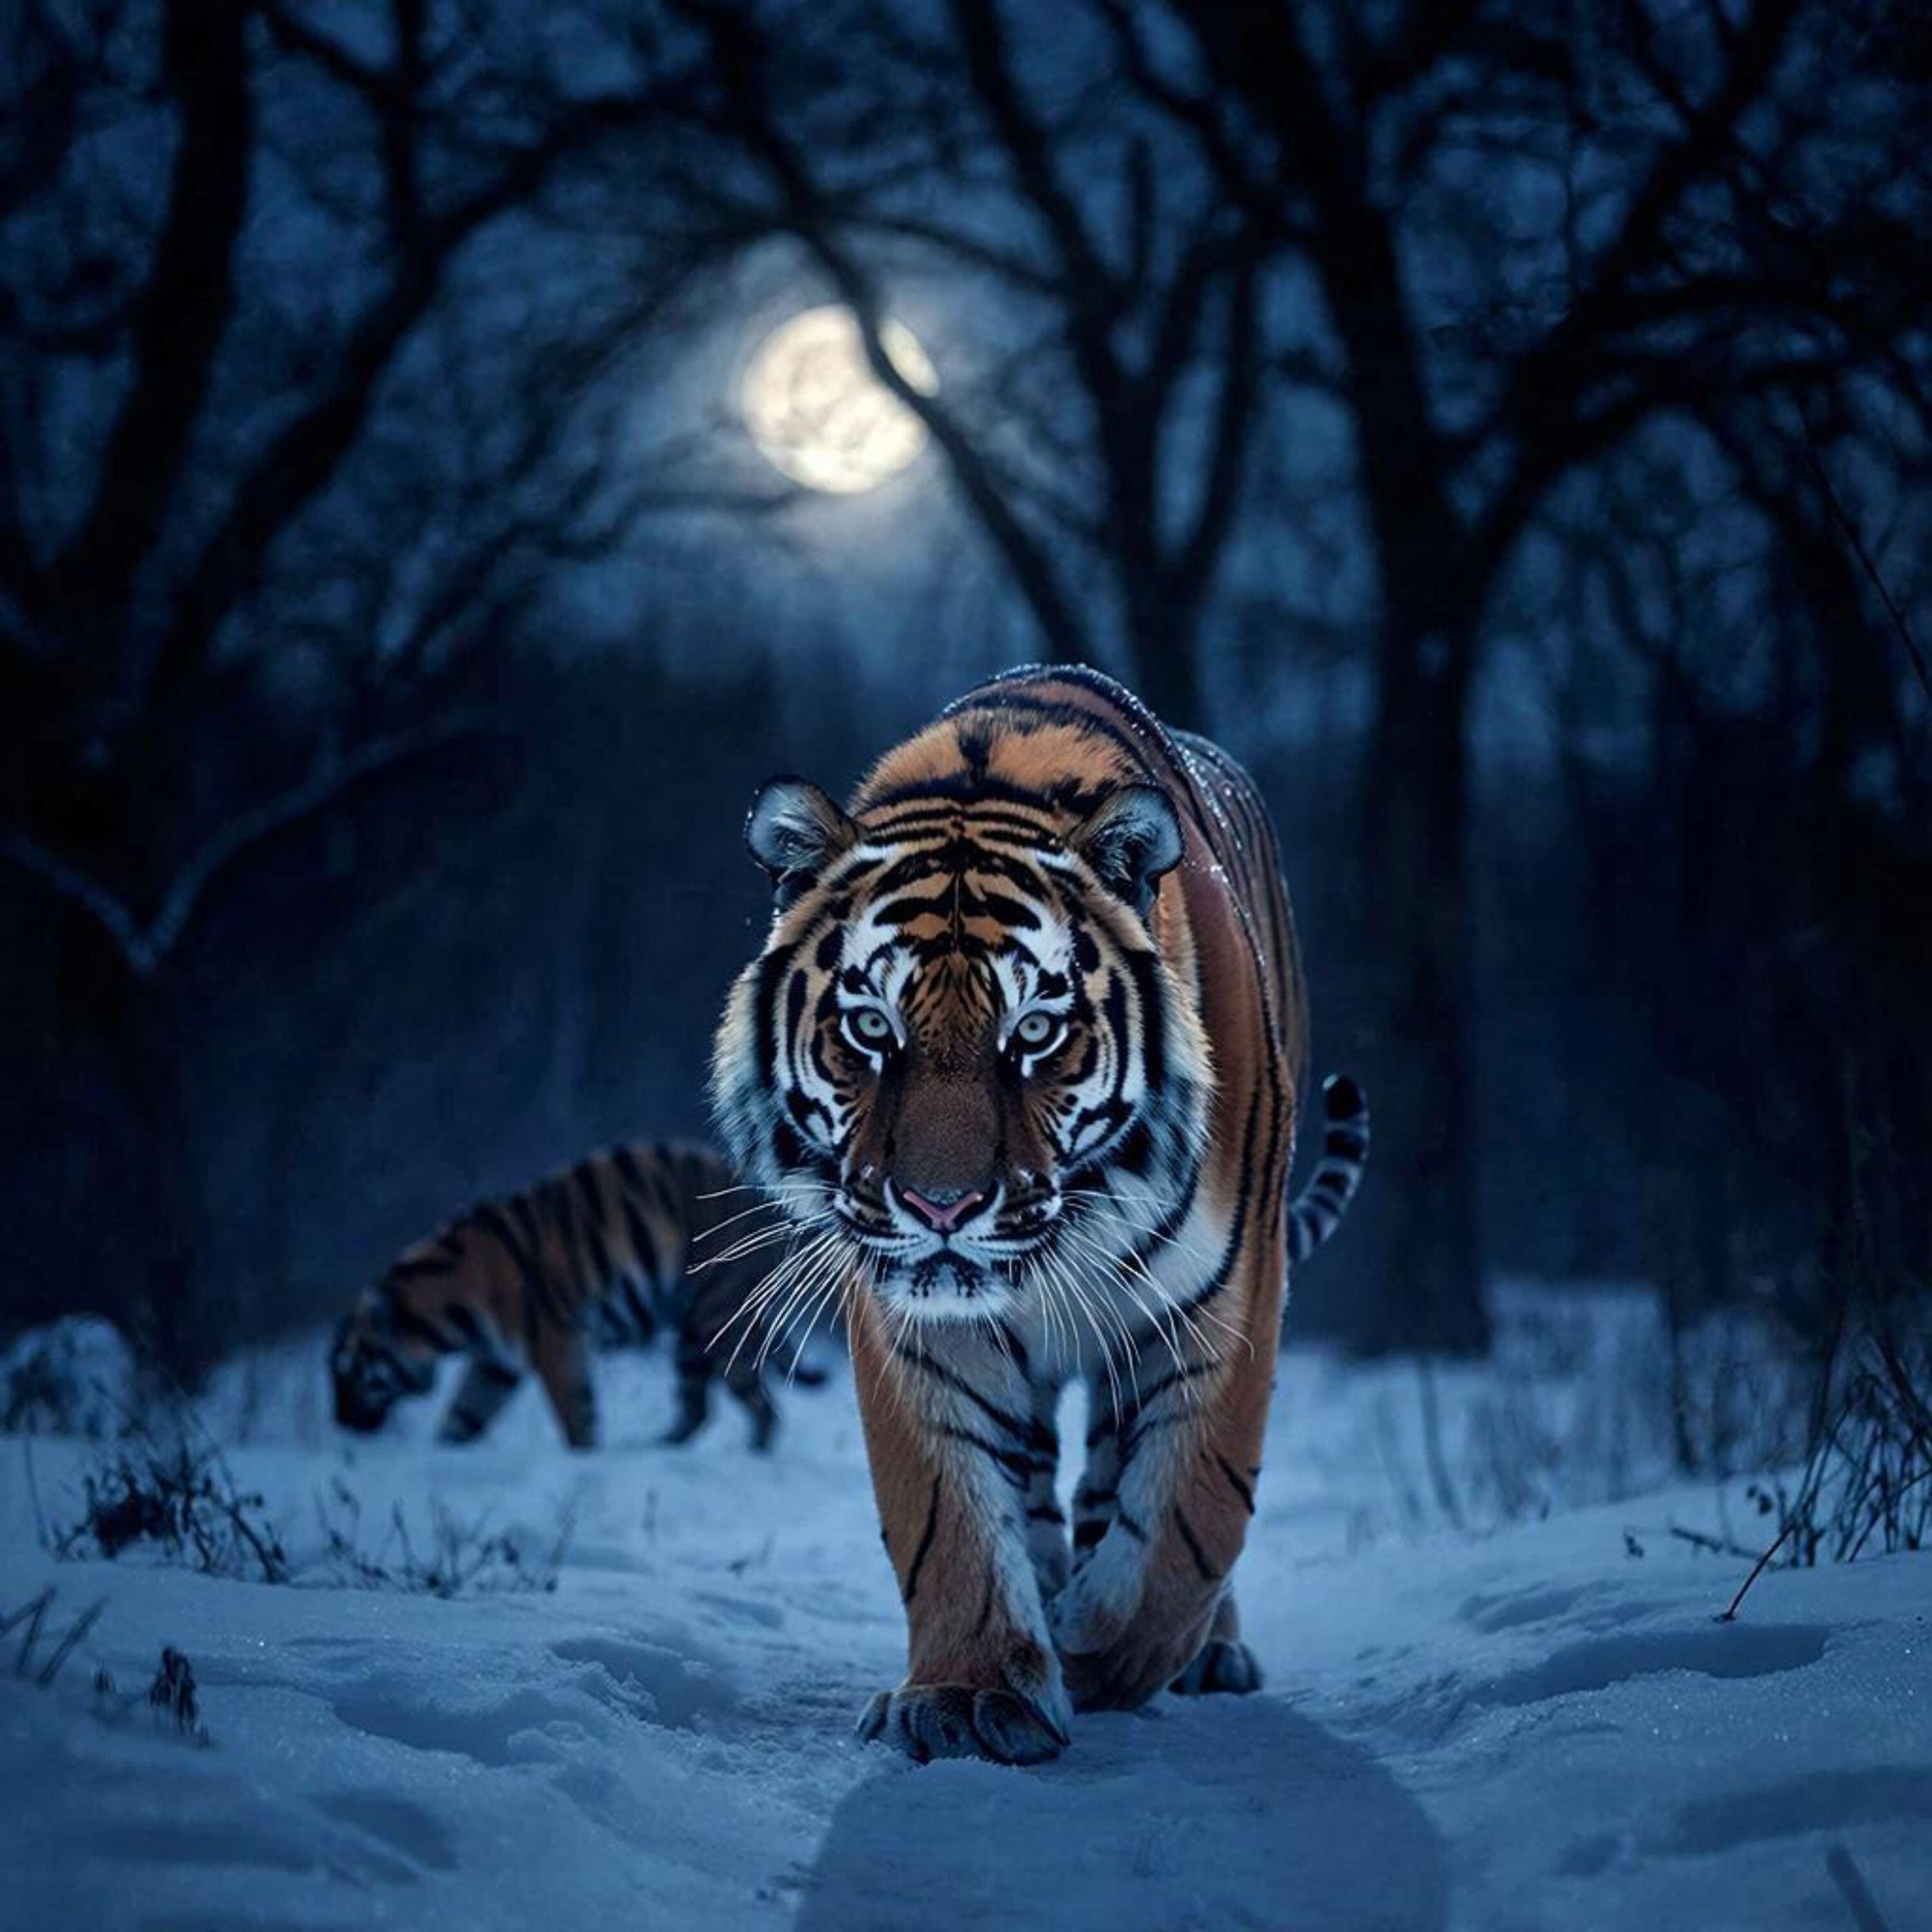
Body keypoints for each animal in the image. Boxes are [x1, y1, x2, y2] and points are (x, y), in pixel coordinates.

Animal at [329, 1140, 826, 1453]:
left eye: (345, 1372)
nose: (338, 1423)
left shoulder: (554, 1339)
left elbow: (575, 1412)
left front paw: (583, 1456)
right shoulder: (496, 1362)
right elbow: (463, 1414)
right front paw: (444, 1453)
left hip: (716, 1315)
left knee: (760, 1407)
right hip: (692, 1331)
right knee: (696, 1408)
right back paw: (655, 1448)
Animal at [710, 663, 1369, 1764]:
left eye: (1034, 1032)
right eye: (870, 1026)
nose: (939, 1205)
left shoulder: (1225, 1303)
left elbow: (1188, 1523)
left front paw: (1101, 1656)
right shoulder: (918, 1327)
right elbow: (951, 1515)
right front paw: (972, 1693)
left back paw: (1196, 1649)